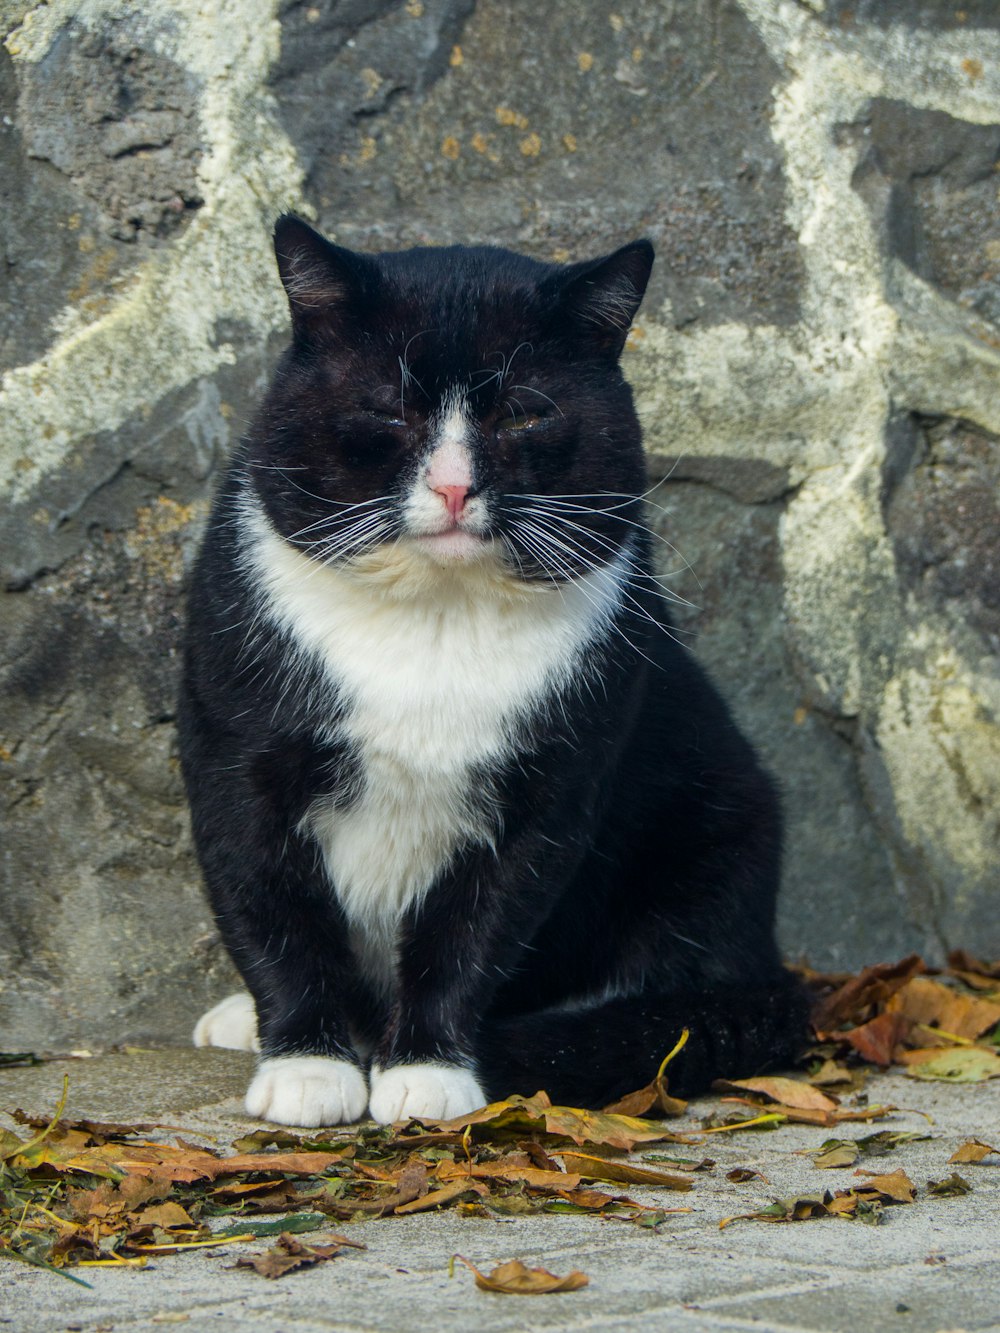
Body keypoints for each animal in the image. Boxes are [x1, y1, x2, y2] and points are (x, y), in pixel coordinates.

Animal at [178, 215, 805, 1125]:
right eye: (387, 407)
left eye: (523, 412)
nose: (451, 486)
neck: (434, 621)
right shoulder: (235, 762)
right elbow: (272, 911)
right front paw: (308, 1065)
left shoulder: (549, 792)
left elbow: (472, 932)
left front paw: (427, 1070)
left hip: (723, 818)